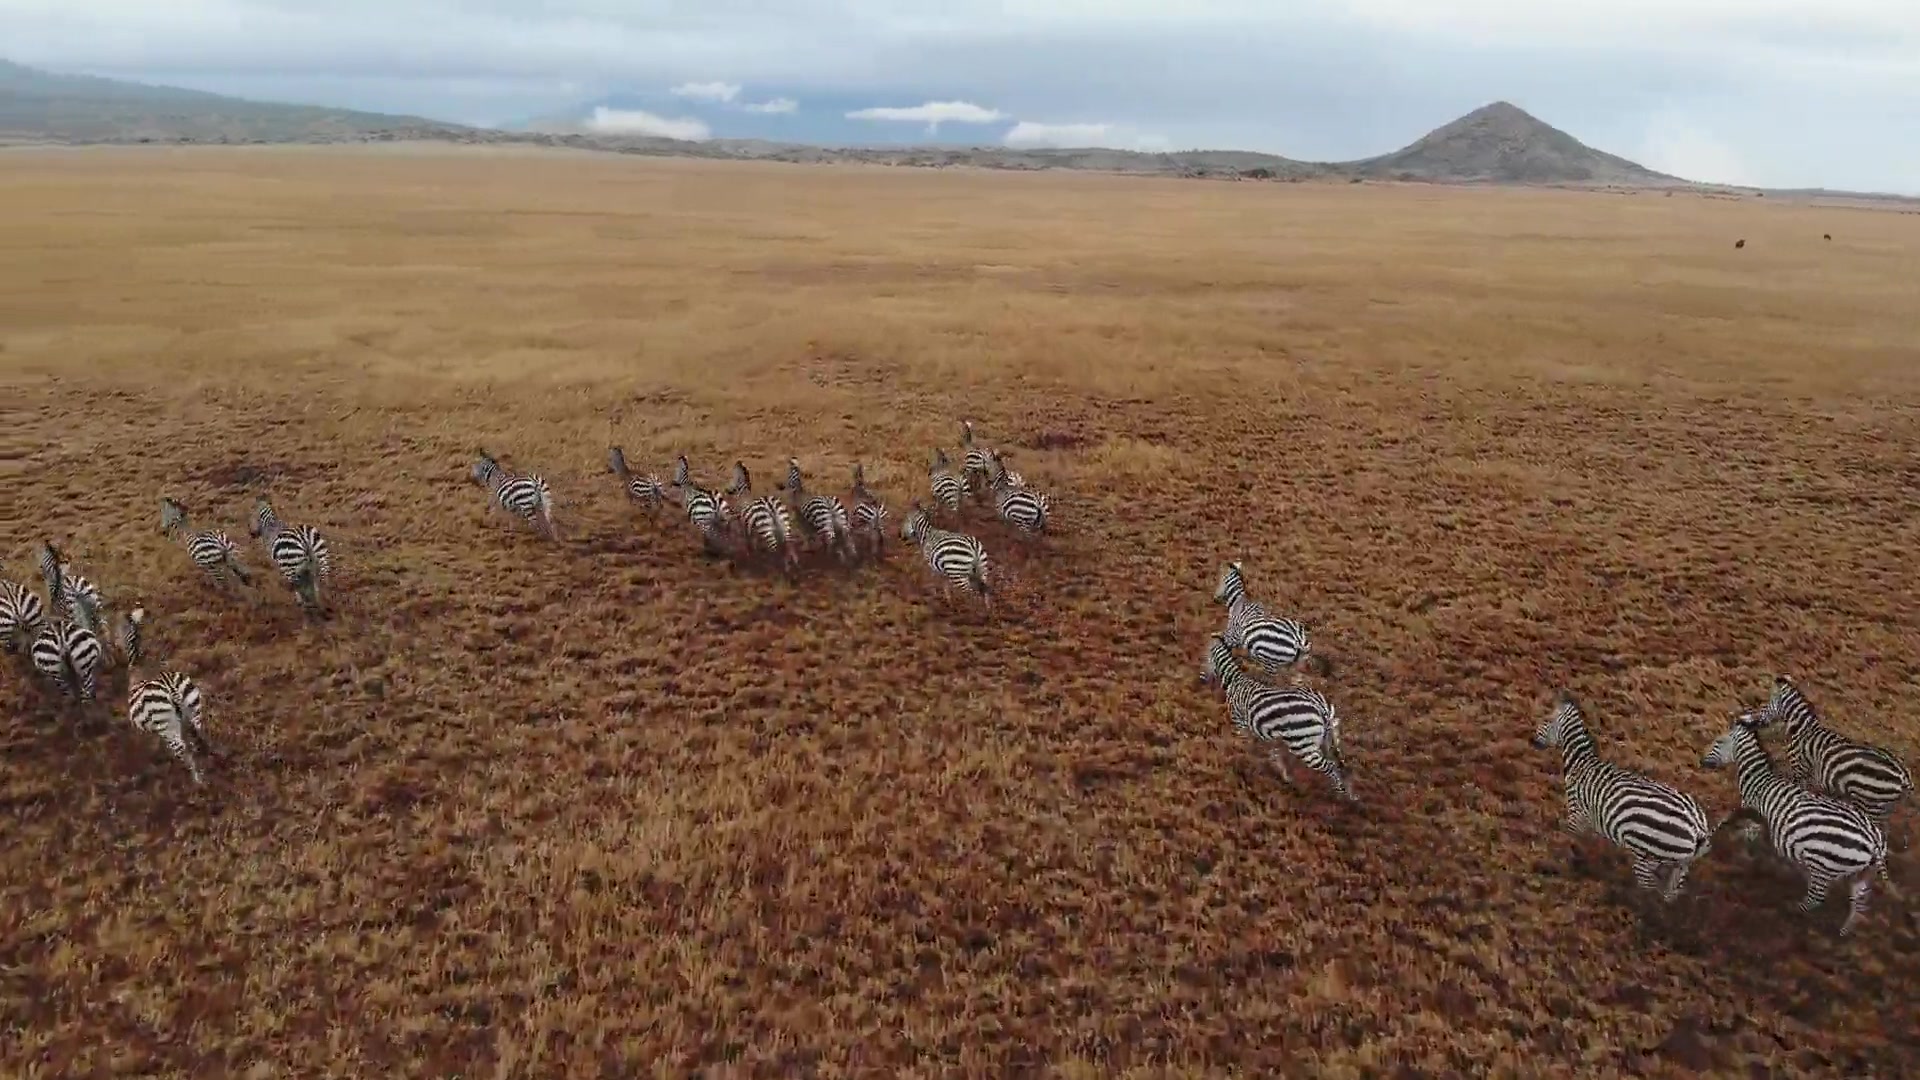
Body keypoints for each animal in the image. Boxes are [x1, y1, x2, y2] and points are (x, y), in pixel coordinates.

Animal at [118, 607, 213, 786]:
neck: (138, 662)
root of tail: (171, 689)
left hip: (166, 725)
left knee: (182, 750)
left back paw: (197, 781)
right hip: (193, 706)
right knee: (199, 732)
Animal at [1201, 633, 1354, 801]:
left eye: (1205, 658)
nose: (1201, 680)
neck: (1234, 682)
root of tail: (1321, 708)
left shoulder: (1240, 722)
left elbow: (1250, 747)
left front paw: (1247, 763)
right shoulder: (1267, 732)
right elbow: (1273, 753)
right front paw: (1282, 773)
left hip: (1303, 745)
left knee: (1329, 766)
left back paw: (1341, 793)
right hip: (1324, 738)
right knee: (1335, 762)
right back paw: (1347, 791)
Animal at [1531, 690, 1715, 903]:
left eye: (1546, 719)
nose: (1532, 741)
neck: (1580, 763)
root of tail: (1697, 828)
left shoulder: (1577, 812)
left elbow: (1572, 840)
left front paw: (1567, 862)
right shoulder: (1592, 818)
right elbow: (1588, 843)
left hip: (1647, 856)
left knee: (1648, 891)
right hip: (1681, 865)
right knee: (1669, 896)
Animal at [1705, 713, 1891, 937]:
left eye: (1718, 741)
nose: (1702, 762)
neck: (1758, 780)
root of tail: (1874, 842)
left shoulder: (1752, 810)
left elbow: (1733, 822)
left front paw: (1720, 841)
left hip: (1823, 866)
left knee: (1816, 898)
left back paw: (1793, 912)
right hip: (1860, 874)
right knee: (1858, 904)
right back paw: (1843, 933)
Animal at [1746, 675, 1914, 828]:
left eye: (1766, 704)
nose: (1755, 721)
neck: (1801, 729)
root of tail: (1903, 776)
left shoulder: (1799, 769)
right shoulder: (1810, 776)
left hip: (1871, 803)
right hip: (1883, 808)